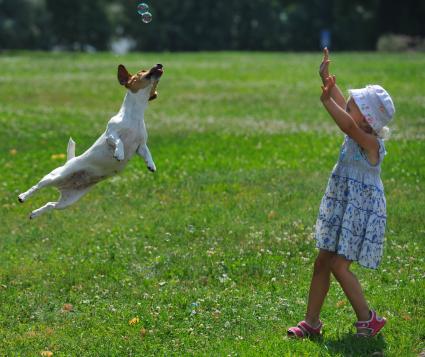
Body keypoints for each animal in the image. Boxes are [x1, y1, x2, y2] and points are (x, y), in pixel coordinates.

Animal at [17, 63, 162, 218]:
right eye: (142, 71)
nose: (159, 65)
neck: (134, 116)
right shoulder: (110, 135)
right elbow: (119, 141)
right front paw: (119, 153)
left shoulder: (140, 145)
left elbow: (147, 153)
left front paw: (151, 165)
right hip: (54, 176)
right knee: (36, 187)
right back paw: (23, 196)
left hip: (69, 200)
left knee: (51, 204)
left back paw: (35, 214)